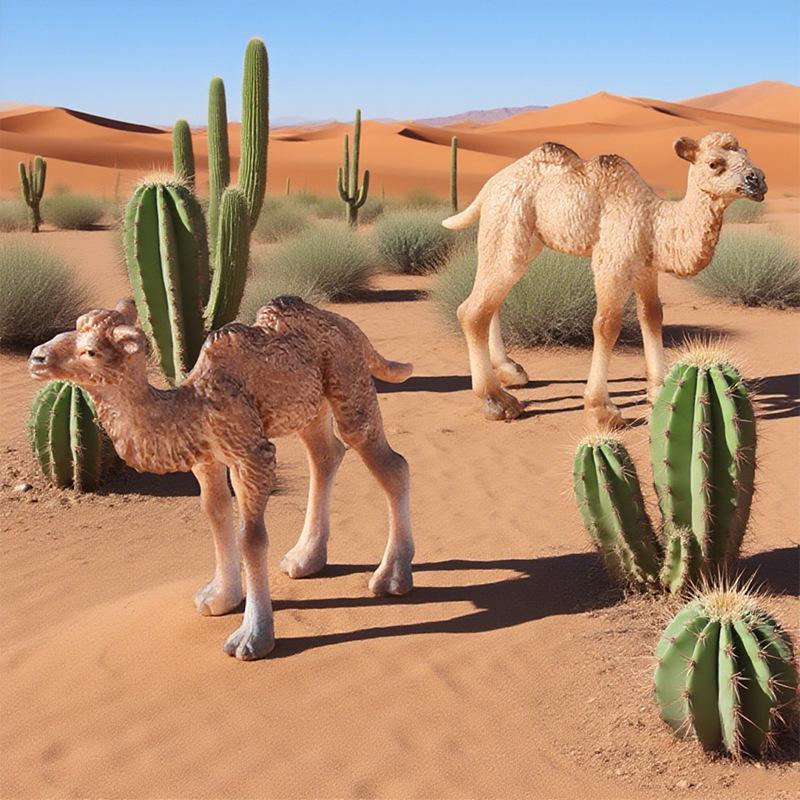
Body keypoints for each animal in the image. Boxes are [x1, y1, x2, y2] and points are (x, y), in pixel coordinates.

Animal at [28, 296, 415, 661]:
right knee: (325, 454)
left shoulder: (251, 455)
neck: (193, 404)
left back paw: (392, 577)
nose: (36, 358)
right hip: (309, 405)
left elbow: (251, 538)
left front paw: (253, 637)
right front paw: (220, 597)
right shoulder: (206, 459)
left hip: (348, 378)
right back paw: (305, 559)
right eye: (70, 330)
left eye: (90, 351)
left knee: (390, 463)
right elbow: (215, 515)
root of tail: (348, 324)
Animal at [442, 132, 767, 427]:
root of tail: (490, 185)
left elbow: (652, 316)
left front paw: (659, 392)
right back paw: (497, 401)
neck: (653, 220)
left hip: (521, 238)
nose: (758, 179)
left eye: (747, 153)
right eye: (714, 164)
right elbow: (606, 326)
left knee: (492, 300)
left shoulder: (645, 268)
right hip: (508, 222)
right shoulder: (612, 261)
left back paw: (511, 372)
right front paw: (601, 410)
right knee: (473, 309)